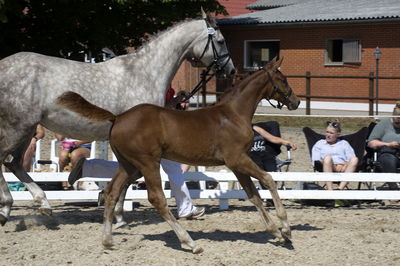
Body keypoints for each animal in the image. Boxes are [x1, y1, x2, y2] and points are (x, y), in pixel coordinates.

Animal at [0, 11, 234, 225]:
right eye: (220, 41)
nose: (230, 70)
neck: (144, 74)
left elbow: (129, 175)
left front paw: (115, 210)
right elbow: (132, 175)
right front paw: (117, 212)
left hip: (27, 129)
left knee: (14, 163)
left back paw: (42, 205)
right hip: (18, 127)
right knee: (5, 159)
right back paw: (8, 207)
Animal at [56, 57, 300, 254]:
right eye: (283, 79)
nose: (296, 102)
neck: (232, 115)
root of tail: (118, 117)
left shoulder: (236, 164)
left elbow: (253, 195)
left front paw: (277, 233)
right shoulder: (237, 159)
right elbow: (269, 180)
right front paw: (286, 228)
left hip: (129, 165)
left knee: (111, 192)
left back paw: (108, 240)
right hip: (148, 163)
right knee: (157, 198)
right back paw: (190, 243)